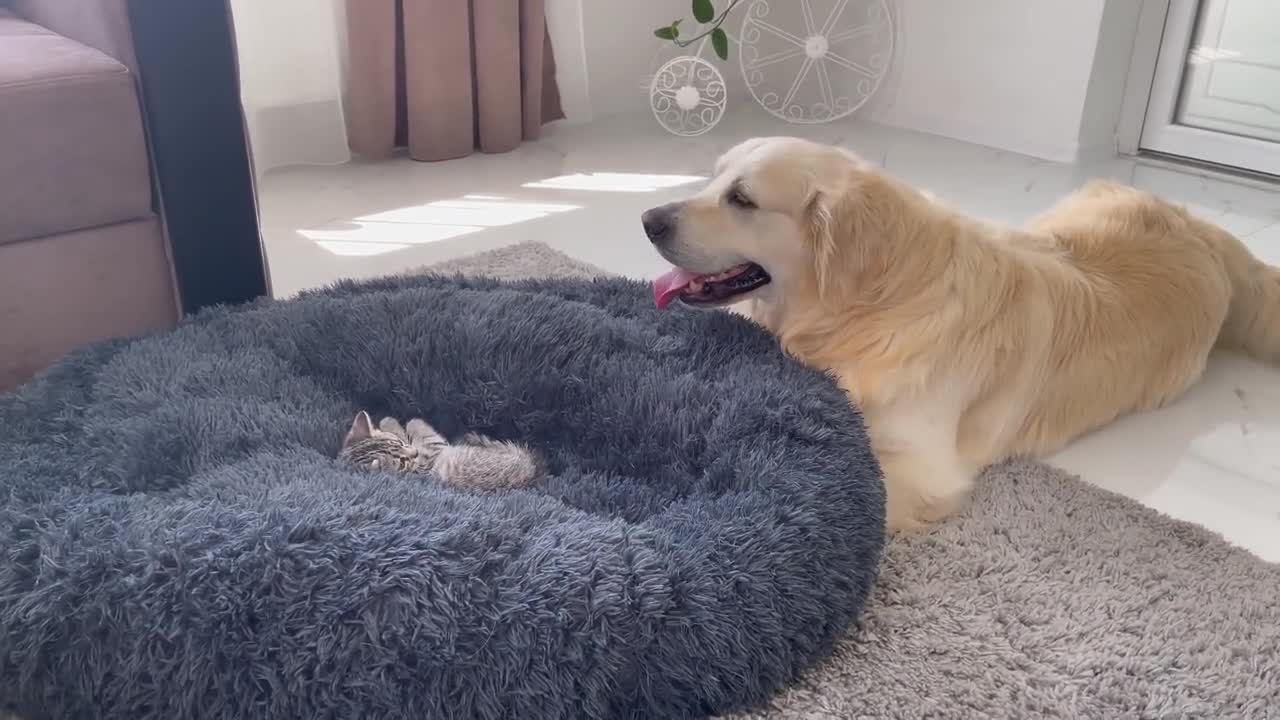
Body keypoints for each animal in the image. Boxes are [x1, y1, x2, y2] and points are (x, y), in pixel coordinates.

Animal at [337, 407, 542, 489]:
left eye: (399, 444)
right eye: (401, 463)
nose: (414, 453)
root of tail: (529, 468)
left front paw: (389, 422)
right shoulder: (433, 451)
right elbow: (415, 425)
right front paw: (398, 421)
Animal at [645, 135, 1280, 527]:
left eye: (742, 198)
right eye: (713, 179)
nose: (649, 219)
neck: (870, 307)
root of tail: (1200, 228)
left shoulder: (921, 466)